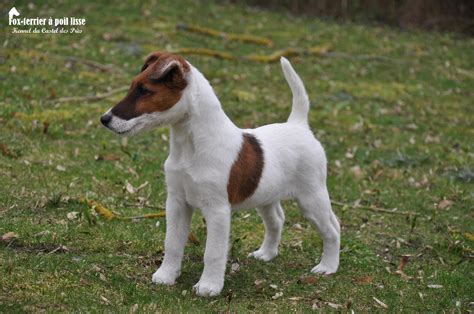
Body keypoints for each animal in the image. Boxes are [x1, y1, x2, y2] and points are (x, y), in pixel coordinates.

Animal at [100, 52, 340, 296]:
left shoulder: (217, 210)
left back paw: (327, 266)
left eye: (145, 90)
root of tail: (299, 125)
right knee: (277, 221)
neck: (190, 147)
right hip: (266, 196)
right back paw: (266, 254)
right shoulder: (177, 202)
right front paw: (166, 275)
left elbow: (213, 252)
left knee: (332, 229)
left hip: (311, 197)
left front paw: (209, 286)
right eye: (133, 86)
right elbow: (173, 242)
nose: (104, 119)